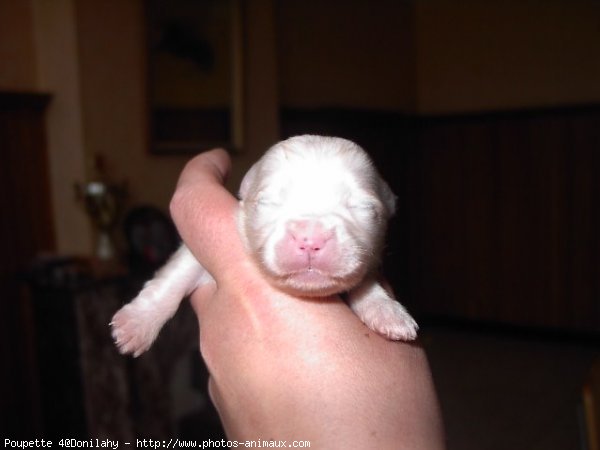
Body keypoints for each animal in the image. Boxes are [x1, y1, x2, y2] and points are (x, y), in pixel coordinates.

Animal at [112, 135, 420, 356]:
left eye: (364, 208)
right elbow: (174, 277)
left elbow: (365, 282)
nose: (310, 238)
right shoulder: (197, 255)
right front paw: (136, 324)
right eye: (267, 202)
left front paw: (387, 312)